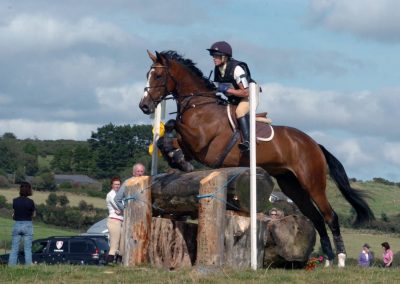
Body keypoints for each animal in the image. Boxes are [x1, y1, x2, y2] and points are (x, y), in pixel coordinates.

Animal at [138, 50, 376, 266]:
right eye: (147, 74)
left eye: (158, 76)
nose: (144, 106)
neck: (199, 105)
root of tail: (314, 144)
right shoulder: (192, 145)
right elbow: (167, 138)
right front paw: (176, 159)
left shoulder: (201, 142)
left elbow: (175, 126)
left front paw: (179, 160)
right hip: (291, 186)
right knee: (316, 217)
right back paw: (327, 259)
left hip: (313, 183)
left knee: (330, 216)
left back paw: (341, 259)